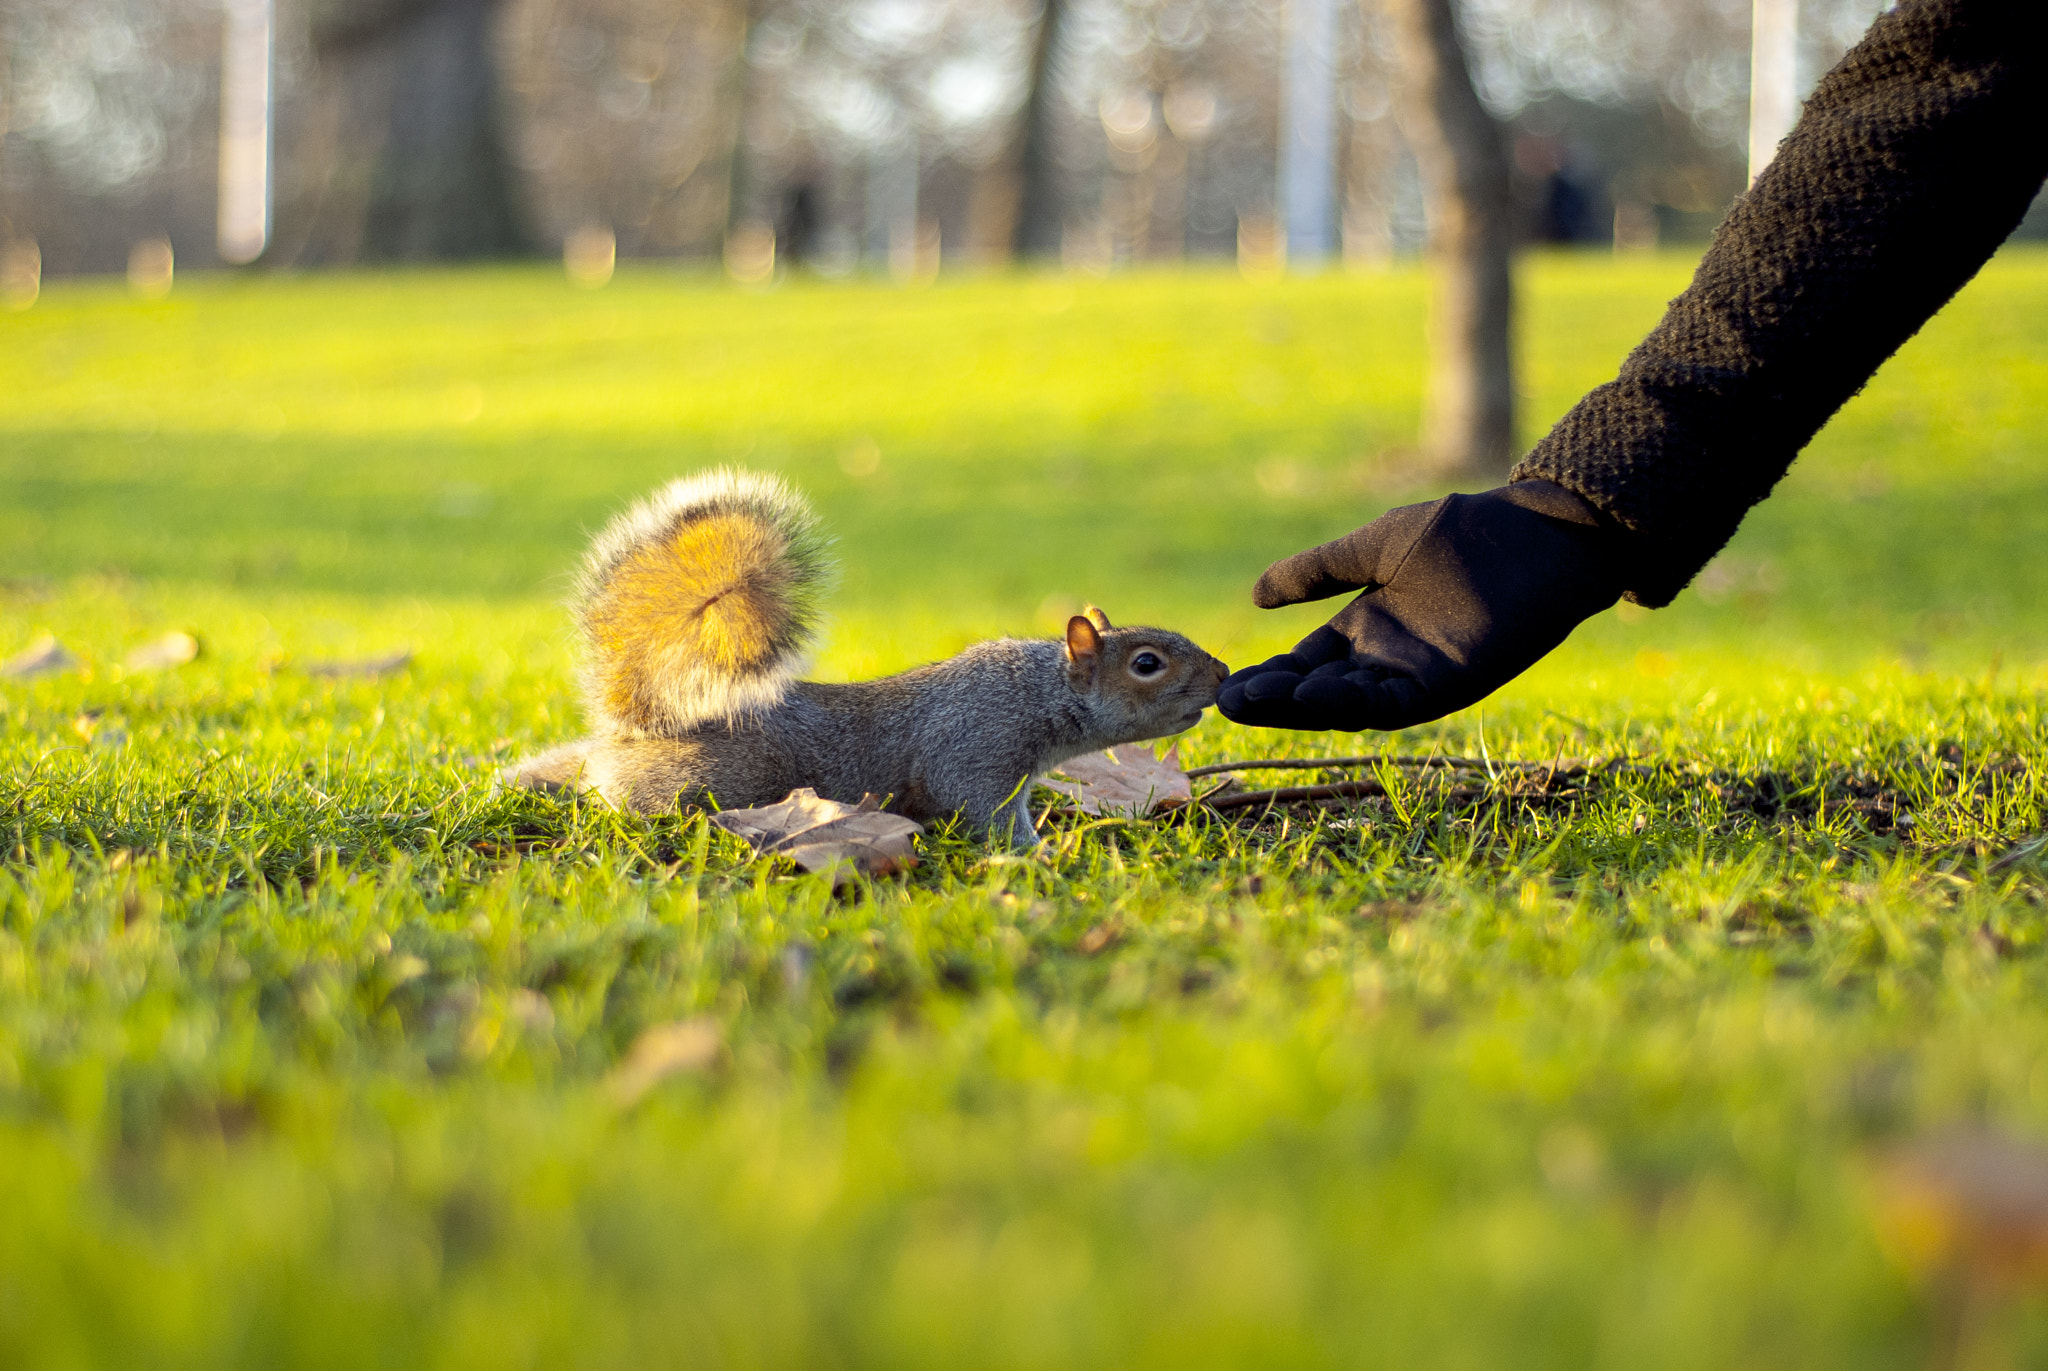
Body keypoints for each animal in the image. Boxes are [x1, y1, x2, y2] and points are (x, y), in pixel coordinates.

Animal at [507, 471, 1228, 844]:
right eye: (1146, 663)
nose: (1222, 676)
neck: (1037, 690)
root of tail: (630, 736)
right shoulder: (976, 748)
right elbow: (981, 809)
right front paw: (1035, 853)